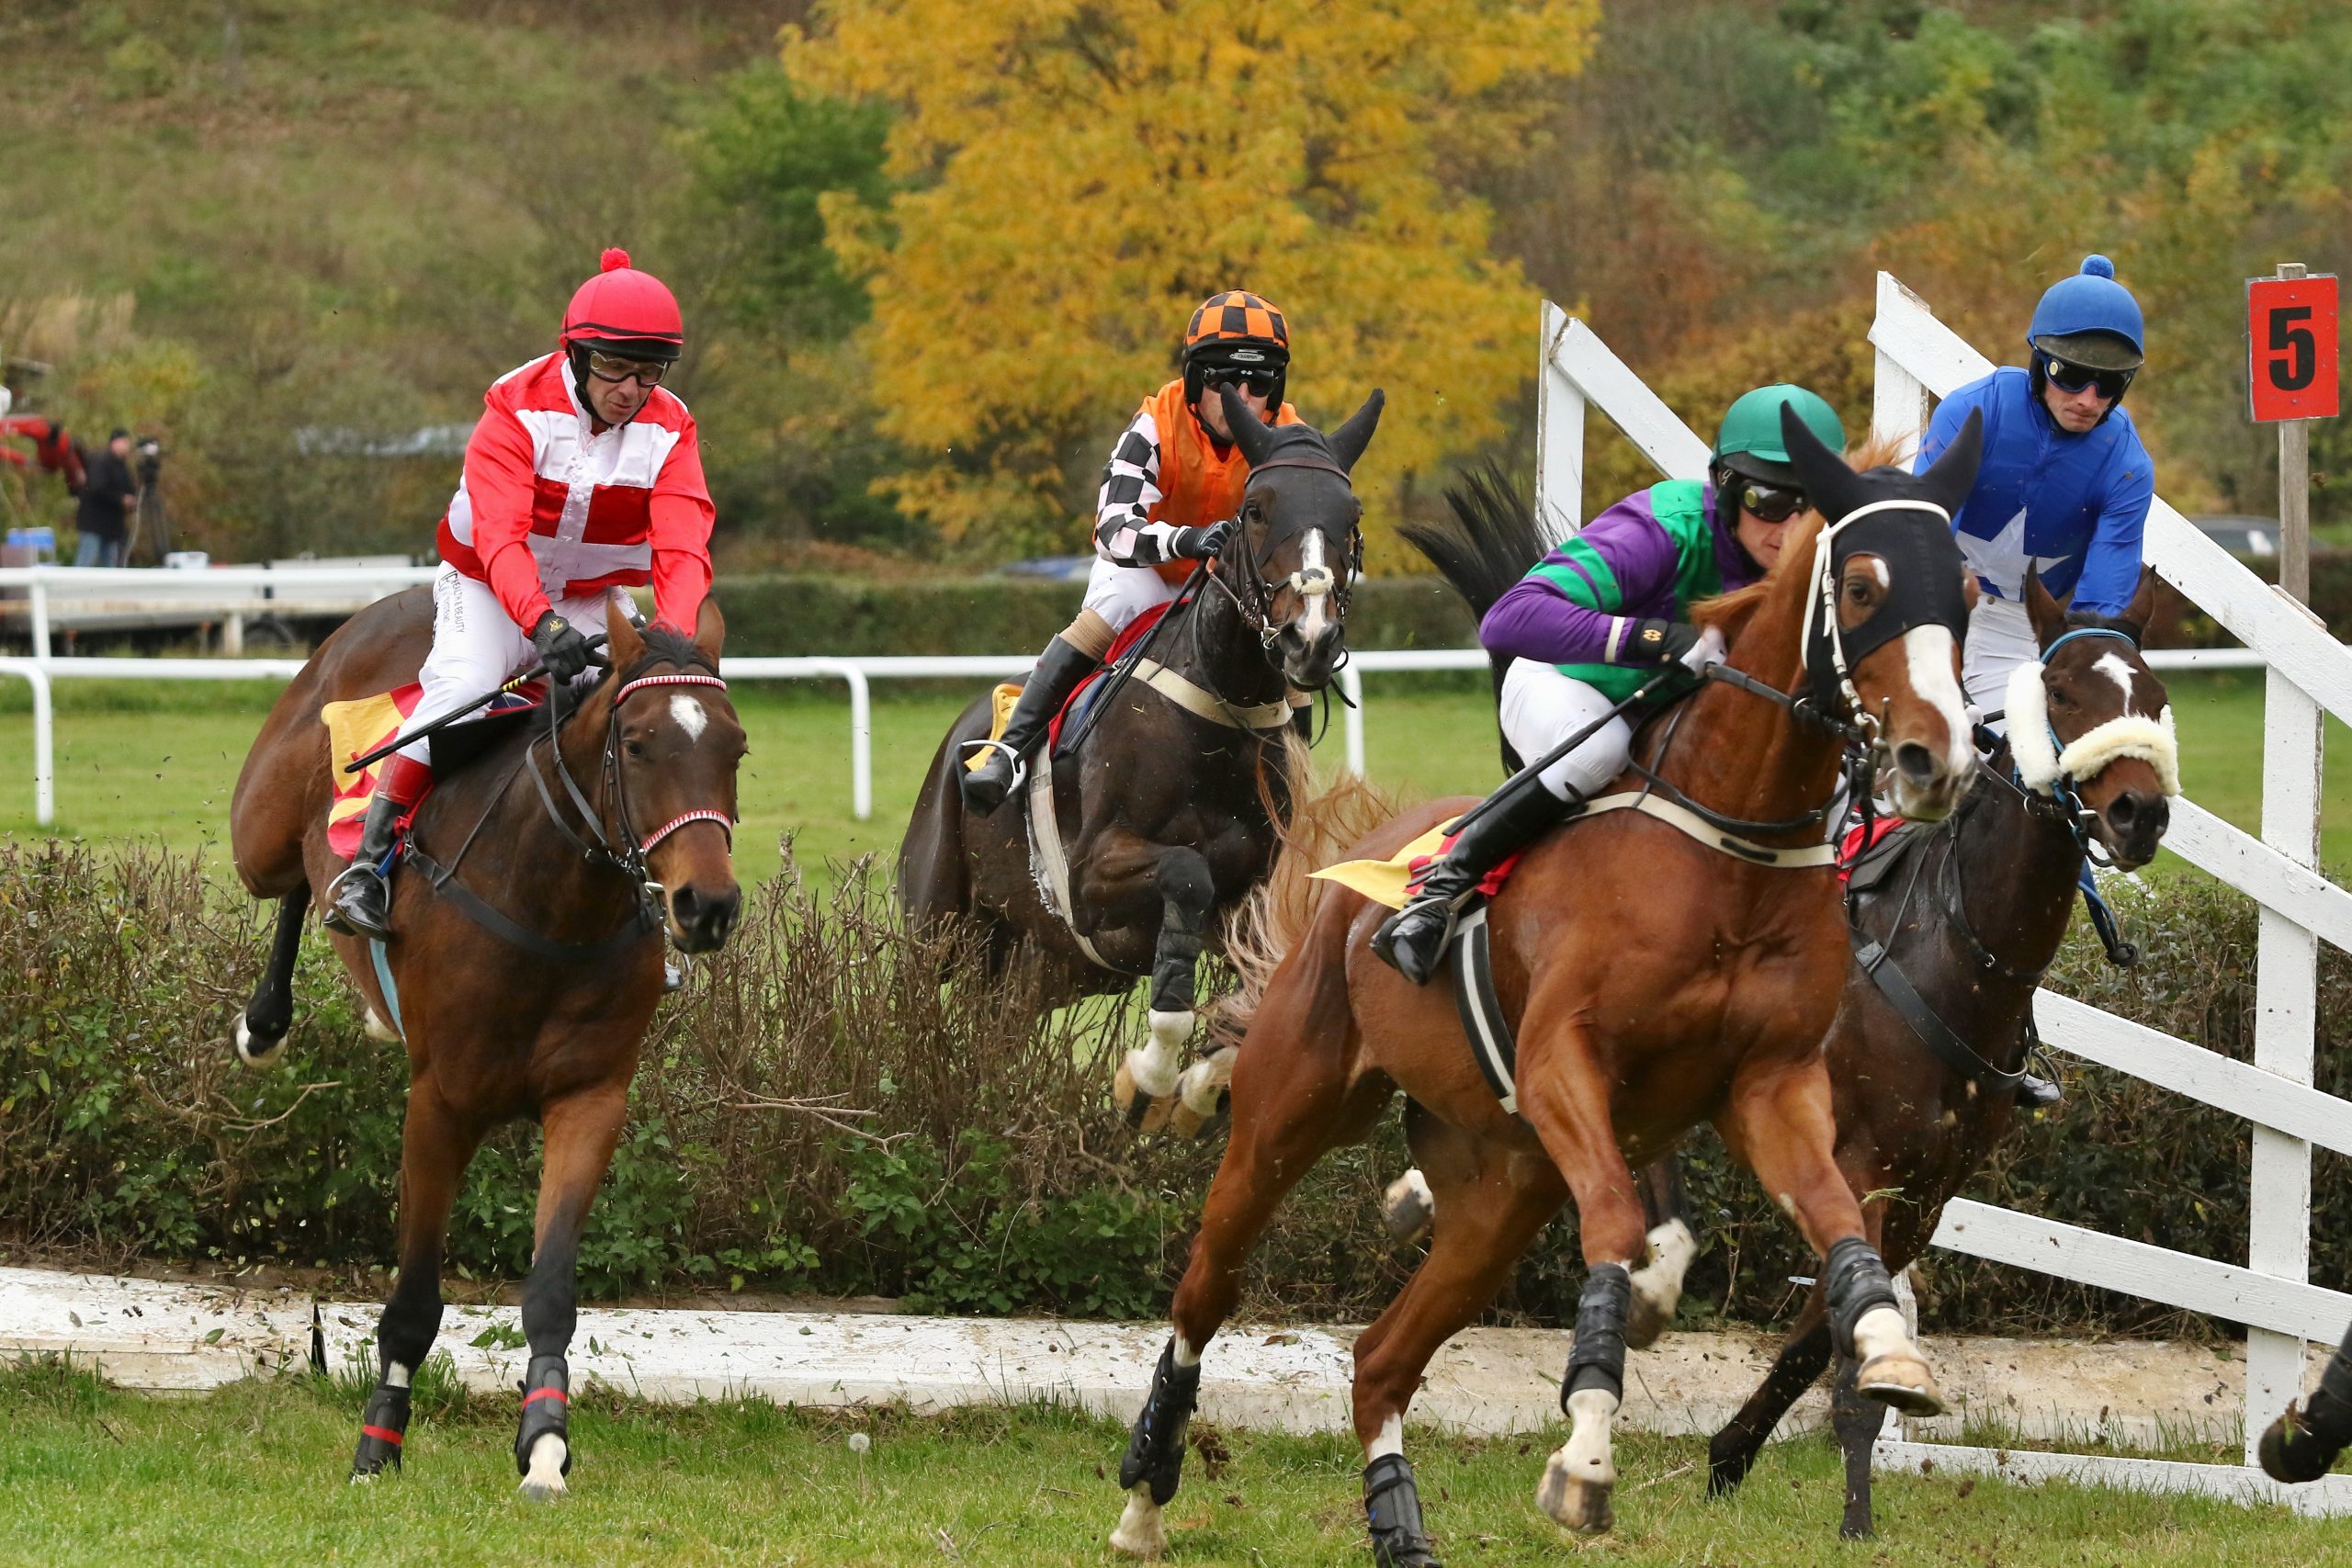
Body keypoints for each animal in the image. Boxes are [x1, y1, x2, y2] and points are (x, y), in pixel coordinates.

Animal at [227, 594, 742, 1504]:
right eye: (638, 743)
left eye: (736, 748)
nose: (705, 905)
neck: (553, 904)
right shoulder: (440, 1103)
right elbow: (413, 1301)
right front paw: (377, 1446)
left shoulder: (590, 1100)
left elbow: (551, 1289)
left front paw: (544, 1443)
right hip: (259, 828)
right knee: (287, 878)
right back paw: (271, 1011)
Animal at [898, 385, 1374, 1133]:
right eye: (1256, 510)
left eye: (1349, 518)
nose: (1311, 638)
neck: (1215, 715)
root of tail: (963, 731)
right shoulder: (1093, 875)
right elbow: (1187, 874)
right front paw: (1149, 1075)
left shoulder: (1258, 891)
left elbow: (1260, 979)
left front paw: (1202, 1086)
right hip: (936, 922)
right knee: (911, 1003)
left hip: (1045, 967)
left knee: (996, 1029)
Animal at [1110, 404, 1994, 1561]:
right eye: (1860, 587)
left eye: (1967, 594)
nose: (1938, 759)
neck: (1735, 852)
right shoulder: (1563, 1062)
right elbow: (1615, 1233)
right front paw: (1584, 1454)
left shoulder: (1773, 1084)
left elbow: (1841, 1226)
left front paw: (1891, 1353)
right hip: (1287, 1119)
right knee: (1202, 1293)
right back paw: (1143, 1495)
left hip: (1500, 1190)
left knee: (1379, 1359)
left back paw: (1398, 1521)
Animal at [1683, 561, 2173, 1532]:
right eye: (2064, 691)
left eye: (2157, 696)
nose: (2140, 810)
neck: (1954, 956)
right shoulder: (1863, 1164)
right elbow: (1840, 1341)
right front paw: (1850, 1516)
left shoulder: (1926, 1192)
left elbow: (1821, 1340)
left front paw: (1733, 1455)